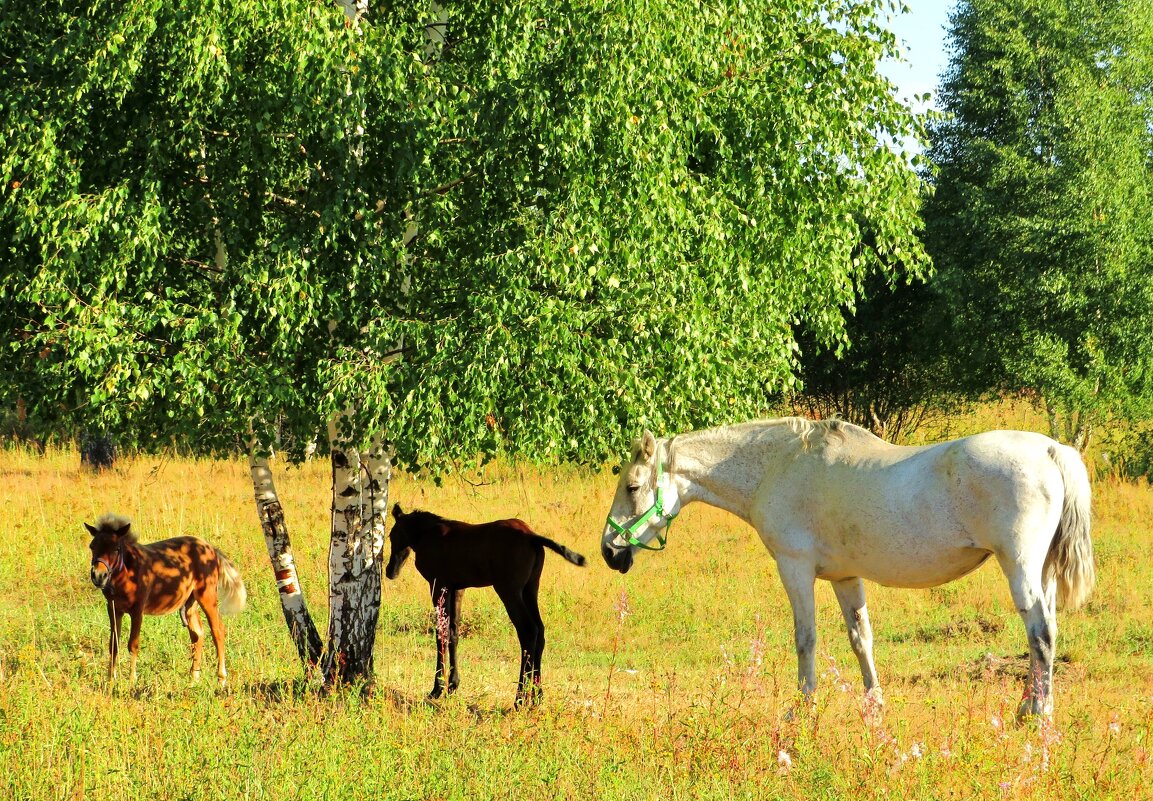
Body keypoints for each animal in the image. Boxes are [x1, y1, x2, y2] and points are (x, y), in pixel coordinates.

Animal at [599, 417, 1093, 719]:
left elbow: (806, 640)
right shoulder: (844, 577)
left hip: (1020, 567)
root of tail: (1051, 450)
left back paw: (1034, 714)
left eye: (633, 486)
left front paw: (801, 708)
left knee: (1040, 634)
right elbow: (861, 640)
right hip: (1043, 573)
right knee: (1045, 632)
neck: (780, 466)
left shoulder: (795, 569)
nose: (608, 551)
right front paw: (875, 706)